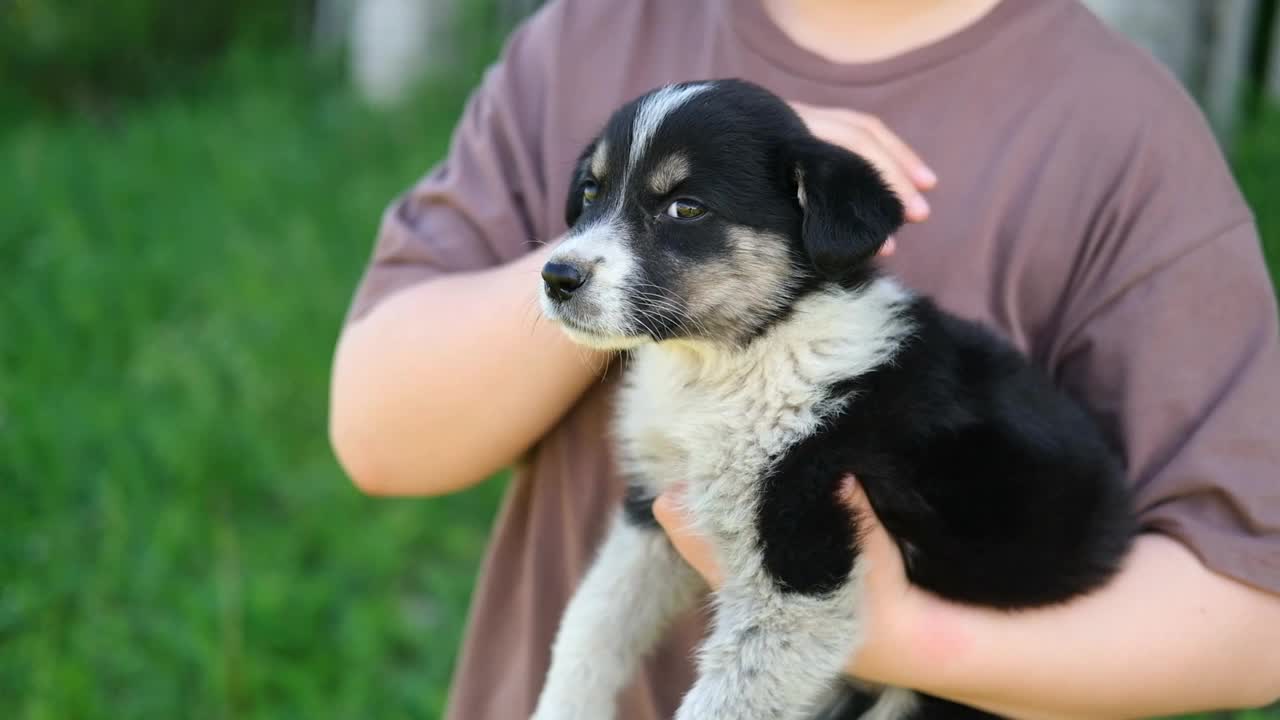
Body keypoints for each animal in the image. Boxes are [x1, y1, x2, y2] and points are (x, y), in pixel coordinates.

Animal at [535, 79, 1136, 717]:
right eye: (592, 191)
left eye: (687, 208)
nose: (556, 277)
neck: (733, 357)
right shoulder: (654, 508)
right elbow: (595, 619)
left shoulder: (800, 564)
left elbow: (725, 695)